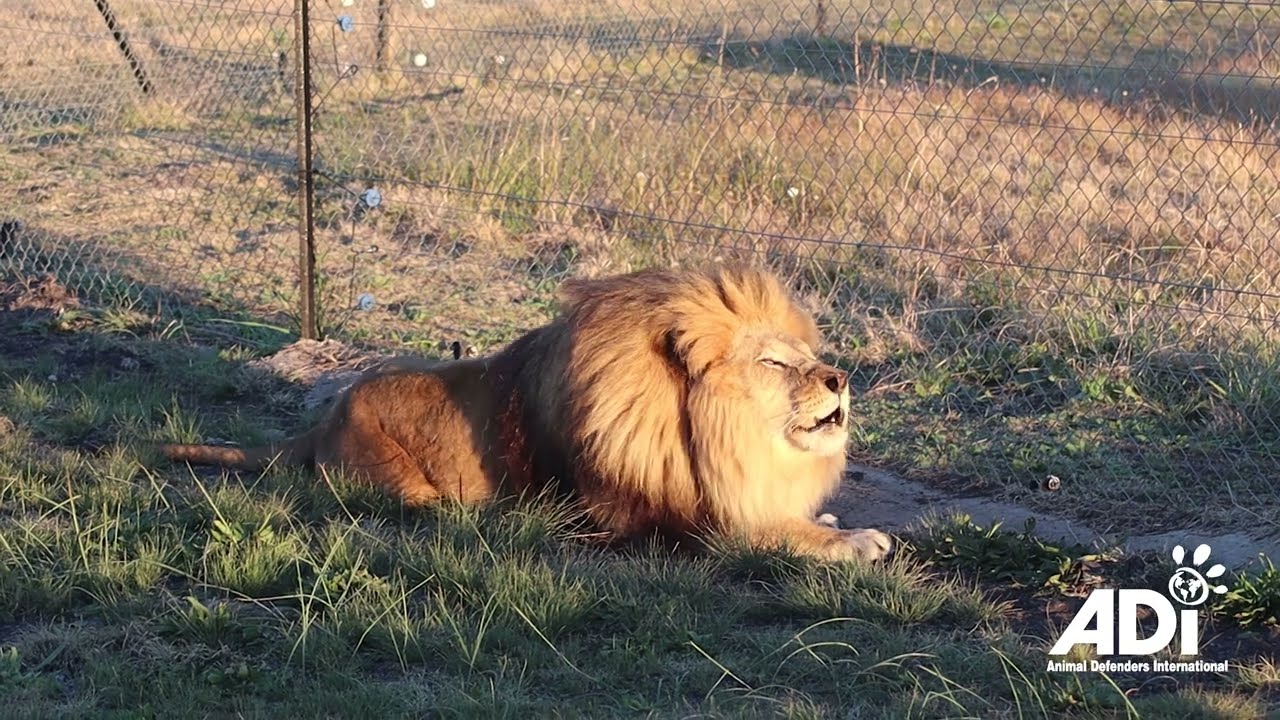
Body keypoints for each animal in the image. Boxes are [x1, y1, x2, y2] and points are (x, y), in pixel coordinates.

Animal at [158, 265, 892, 562]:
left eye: (809, 356)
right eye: (773, 362)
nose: (841, 377)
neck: (718, 439)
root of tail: (319, 423)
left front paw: (827, 519)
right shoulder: (664, 525)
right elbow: (768, 533)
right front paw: (854, 540)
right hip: (398, 484)